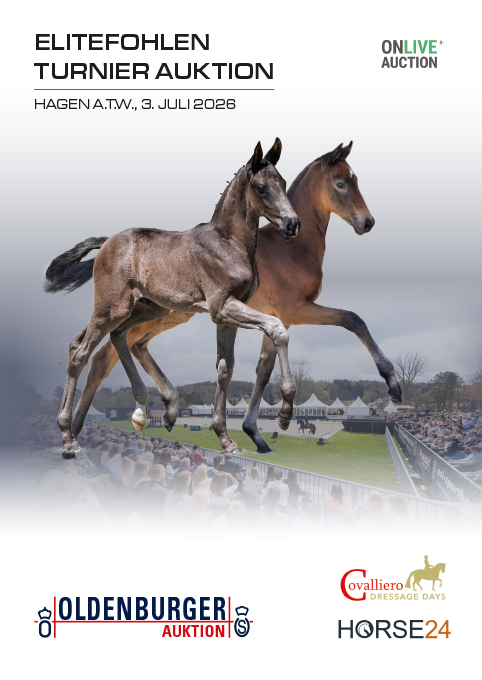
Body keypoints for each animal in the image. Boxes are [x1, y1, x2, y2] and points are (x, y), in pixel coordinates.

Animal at [44, 139, 301, 457]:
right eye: (262, 188)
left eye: (284, 183)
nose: (292, 224)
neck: (228, 243)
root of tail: (106, 242)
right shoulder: (221, 306)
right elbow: (277, 327)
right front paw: (286, 412)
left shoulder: (227, 313)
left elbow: (225, 368)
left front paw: (225, 439)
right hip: (112, 307)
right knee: (81, 352)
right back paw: (68, 437)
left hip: (146, 308)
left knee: (109, 338)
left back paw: (148, 409)